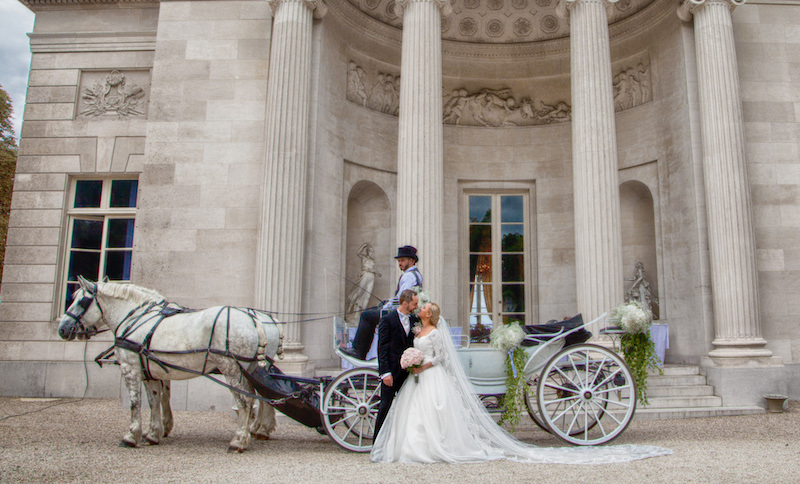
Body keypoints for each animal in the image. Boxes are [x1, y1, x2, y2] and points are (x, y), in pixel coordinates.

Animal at [57, 278, 282, 452]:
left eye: (81, 301)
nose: (62, 328)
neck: (137, 319)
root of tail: (255, 319)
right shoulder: (153, 371)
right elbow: (156, 400)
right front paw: (155, 432)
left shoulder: (131, 369)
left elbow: (136, 403)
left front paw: (132, 435)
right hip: (251, 369)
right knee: (262, 396)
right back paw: (258, 429)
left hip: (232, 368)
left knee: (246, 401)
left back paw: (240, 440)